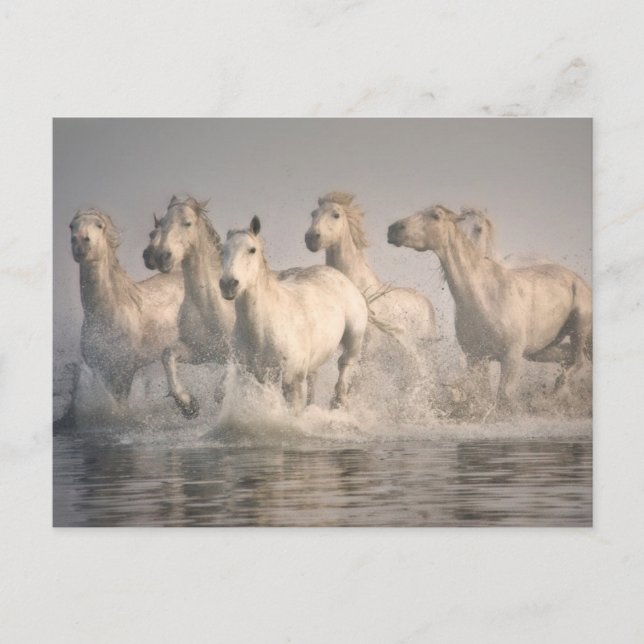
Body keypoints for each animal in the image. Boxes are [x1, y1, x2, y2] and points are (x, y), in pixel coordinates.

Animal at [69, 209, 184, 414]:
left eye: (99, 225)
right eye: (71, 226)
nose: (80, 242)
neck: (105, 316)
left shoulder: (124, 371)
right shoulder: (101, 371)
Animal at [144, 195, 235, 418]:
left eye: (187, 223)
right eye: (161, 223)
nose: (161, 256)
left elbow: (226, 381)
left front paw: (221, 394)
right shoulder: (199, 352)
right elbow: (167, 355)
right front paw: (188, 404)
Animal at [220, 216, 368, 412]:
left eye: (252, 250)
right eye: (223, 250)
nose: (228, 284)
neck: (261, 331)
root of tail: (340, 276)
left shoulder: (293, 384)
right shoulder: (252, 379)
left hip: (354, 340)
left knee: (345, 365)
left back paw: (338, 403)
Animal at [387, 205, 592, 409]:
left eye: (435, 215)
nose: (393, 229)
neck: (484, 297)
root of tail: (578, 279)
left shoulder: (511, 358)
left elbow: (503, 397)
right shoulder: (476, 358)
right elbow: (483, 395)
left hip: (578, 328)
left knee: (578, 361)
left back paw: (556, 393)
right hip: (541, 349)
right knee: (568, 356)